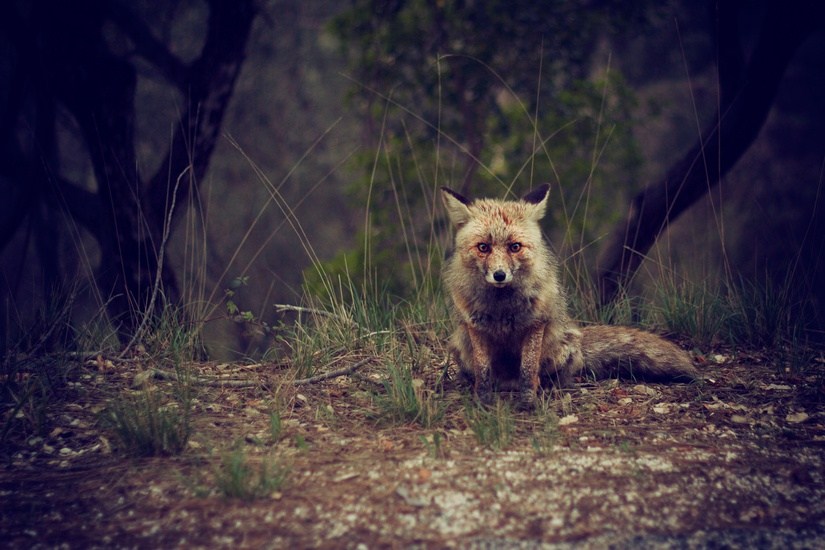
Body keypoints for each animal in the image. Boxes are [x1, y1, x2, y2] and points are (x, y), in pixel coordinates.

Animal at [441, 184, 698, 407]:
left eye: (515, 247)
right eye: (483, 247)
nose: (500, 275)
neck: (501, 308)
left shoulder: (536, 323)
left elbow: (528, 369)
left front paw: (528, 402)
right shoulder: (475, 325)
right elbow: (483, 371)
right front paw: (482, 401)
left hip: (561, 352)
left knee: (555, 376)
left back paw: (550, 387)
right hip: (460, 346)